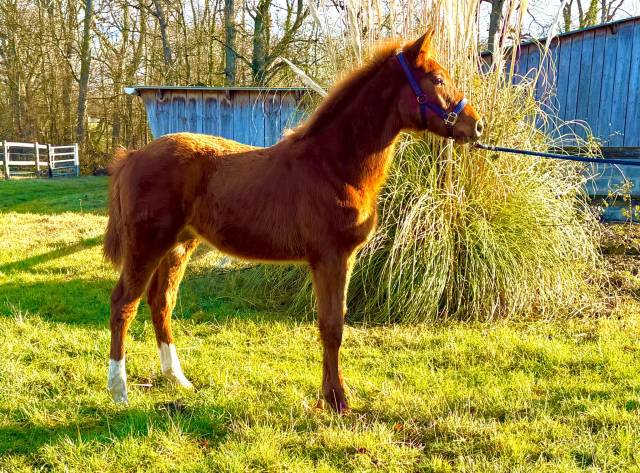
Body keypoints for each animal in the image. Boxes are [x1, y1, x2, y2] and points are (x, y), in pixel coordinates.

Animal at [103, 29, 484, 412]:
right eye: (437, 79)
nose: (476, 125)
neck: (332, 166)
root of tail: (132, 156)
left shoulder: (344, 259)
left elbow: (334, 322)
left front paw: (330, 396)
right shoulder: (330, 257)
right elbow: (332, 326)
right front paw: (337, 401)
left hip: (180, 245)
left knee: (160, 302)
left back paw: (177, 379)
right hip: (147, 244)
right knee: (124, 304)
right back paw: (119, 390)